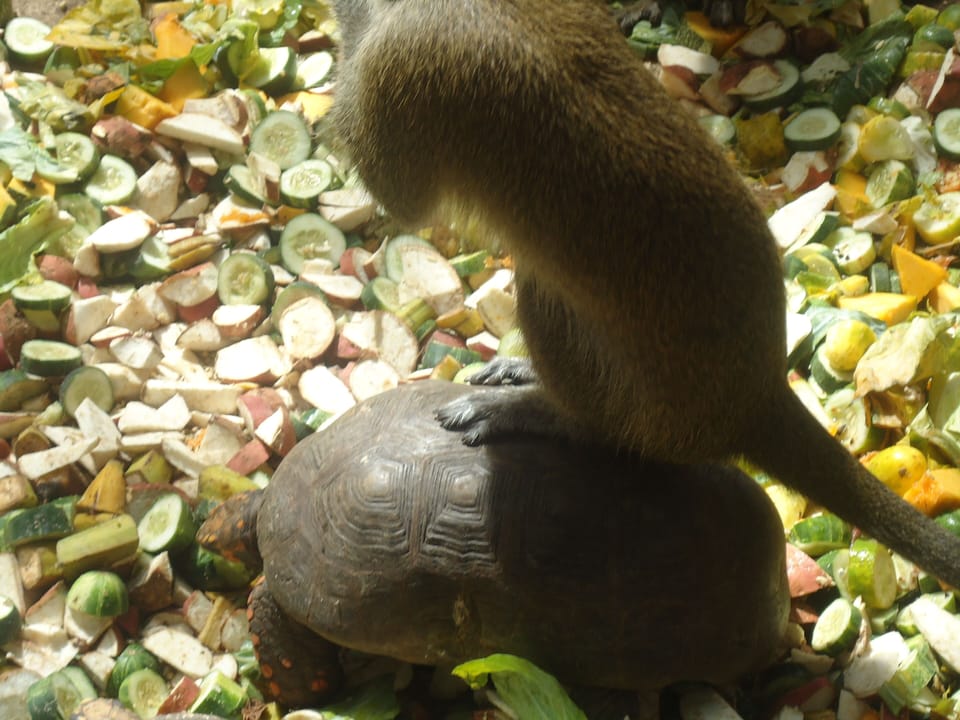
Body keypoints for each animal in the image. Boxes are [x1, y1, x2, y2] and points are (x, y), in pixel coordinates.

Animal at [328, 0, 960, 591]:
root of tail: (755, 397)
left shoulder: (398, 61)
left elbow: (399, 196)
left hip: (655, 409)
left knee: (545, 295)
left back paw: (557, 416)